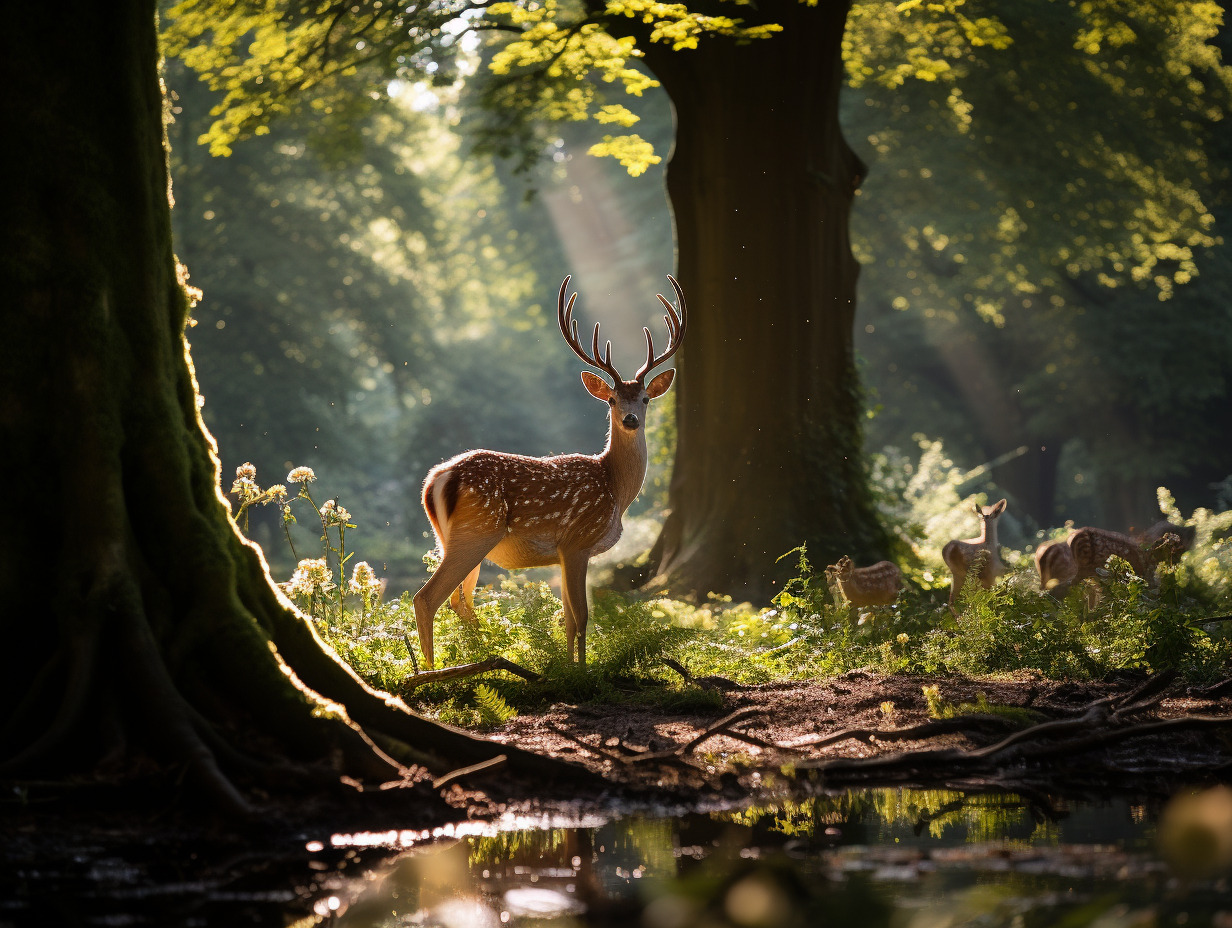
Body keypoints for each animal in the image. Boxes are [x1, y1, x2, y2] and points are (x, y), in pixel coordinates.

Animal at [411, 273, 684, 665]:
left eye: (645, 399)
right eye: (612, 399)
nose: (630, 419)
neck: (616, 489)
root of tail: (435, 480)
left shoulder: (562, 555)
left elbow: (567, 618)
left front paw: (568, 667)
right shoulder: (577, 541)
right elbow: (582, 617)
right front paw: (583, 671)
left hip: (452, 538)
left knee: (459, 602)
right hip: (476, 533)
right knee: (427, 598)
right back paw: (430, 671)